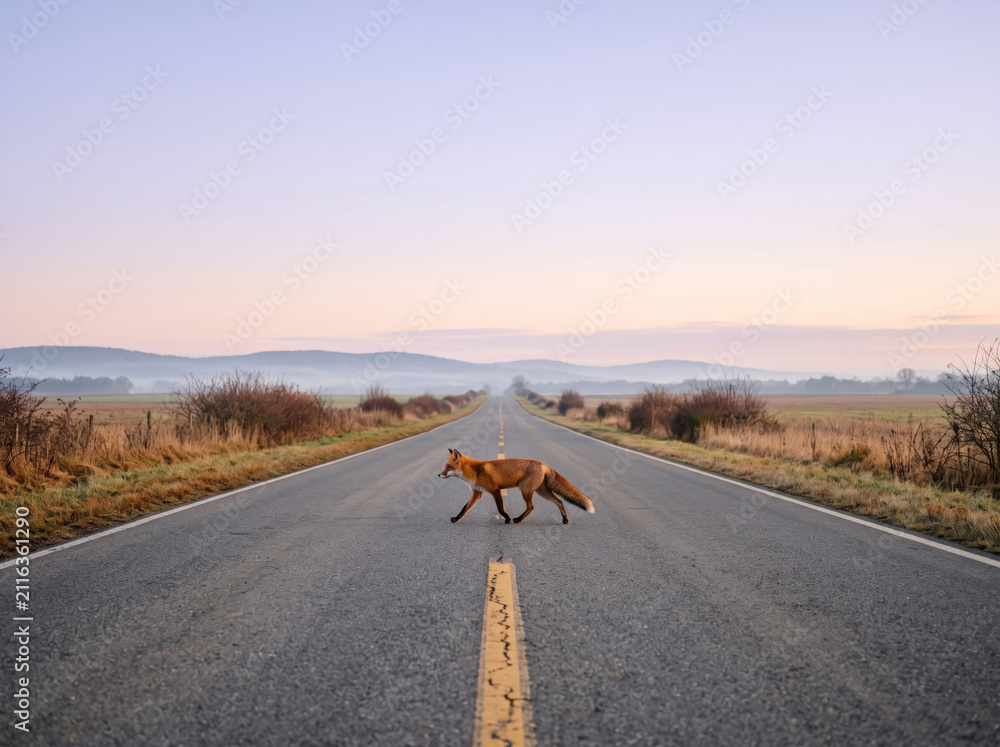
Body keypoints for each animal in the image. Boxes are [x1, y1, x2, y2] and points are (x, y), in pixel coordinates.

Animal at [438, 448, 595, 524]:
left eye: (449, 467)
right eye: (445, 467)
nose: (439, 475)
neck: (475, 471)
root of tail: (543, 464)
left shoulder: (495, 490)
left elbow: (500, 509)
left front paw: (507, 519)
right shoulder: (477, 493)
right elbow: (464, 509)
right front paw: (456, 519)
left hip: (525, 490)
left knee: (531, 507)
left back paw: (518, 520)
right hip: (541, 492)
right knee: (560, 501)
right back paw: (565, 520)